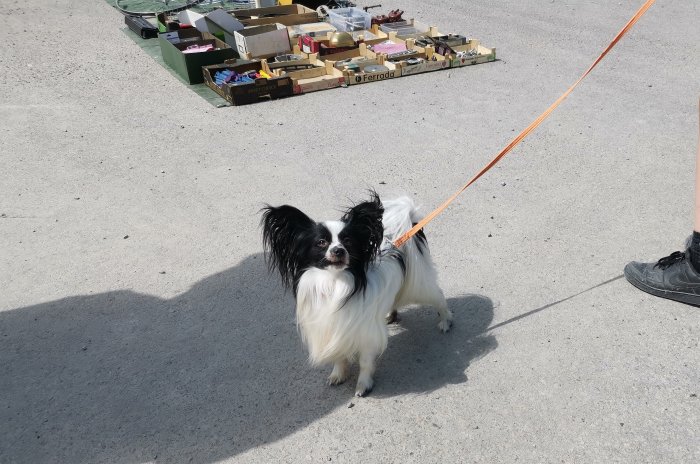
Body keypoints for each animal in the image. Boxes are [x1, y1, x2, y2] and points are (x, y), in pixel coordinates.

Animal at [260, 191, 452, 396]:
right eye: (321, 242)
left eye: (348, 241)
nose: (338, 250)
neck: (335, 282)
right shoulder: (334, 329)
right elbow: (338, 354)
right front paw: (338, 374)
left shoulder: (366, 333)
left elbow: (365, 362)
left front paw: (363, 385)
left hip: (419, 287)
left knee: (439, 297)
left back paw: (445, 321)